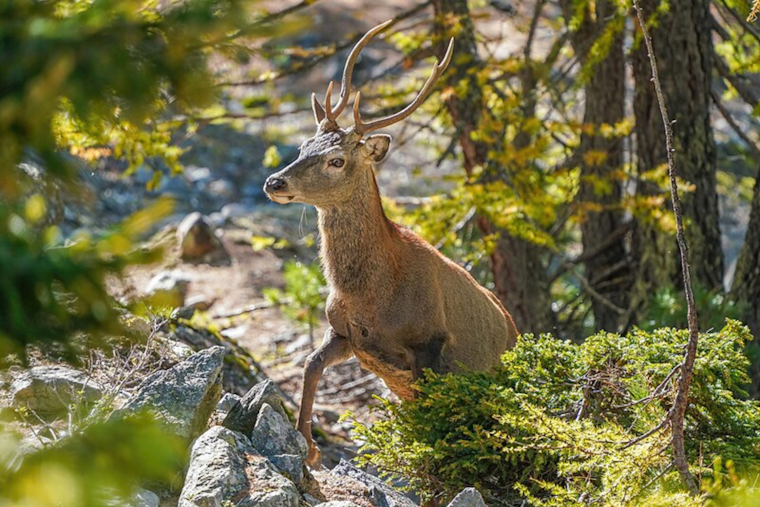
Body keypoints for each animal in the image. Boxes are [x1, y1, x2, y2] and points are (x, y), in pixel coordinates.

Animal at [263, 20, 519, 468]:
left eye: (337, 161)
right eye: (302, 146)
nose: (274, 182)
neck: (372, 294)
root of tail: (518, 333)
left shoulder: (430, 343)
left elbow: (428, 431)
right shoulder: (347, 333)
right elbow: (310, 365)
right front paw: (308, 447)